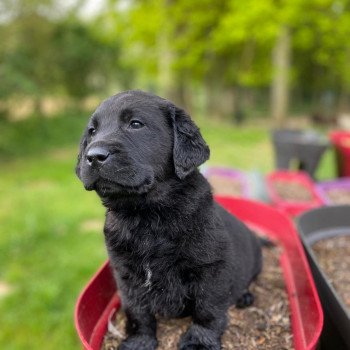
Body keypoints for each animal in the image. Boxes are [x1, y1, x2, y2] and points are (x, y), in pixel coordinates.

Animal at [76, 91, 262, 350]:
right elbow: (137, 311)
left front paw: (200, 342)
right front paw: (139, 341)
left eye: (136, 124)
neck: (146, 215)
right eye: (92, 131)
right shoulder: (126, 275)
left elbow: (207, 309)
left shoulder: (210, 270)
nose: (93, 156)